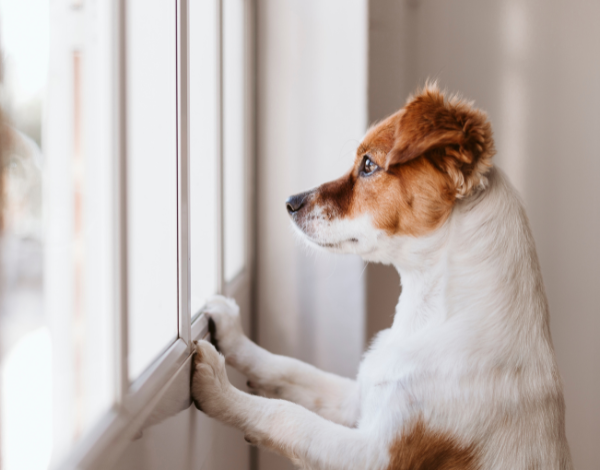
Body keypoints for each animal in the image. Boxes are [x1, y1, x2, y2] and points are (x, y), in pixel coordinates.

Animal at [191, 85, 572, 470]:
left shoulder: (376, 455)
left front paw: (219, 388)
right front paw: (232, 334)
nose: (289, 202)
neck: (429, 317)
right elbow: (289, 369)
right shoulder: (358, 398)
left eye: (368, 165)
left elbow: (287, 416)